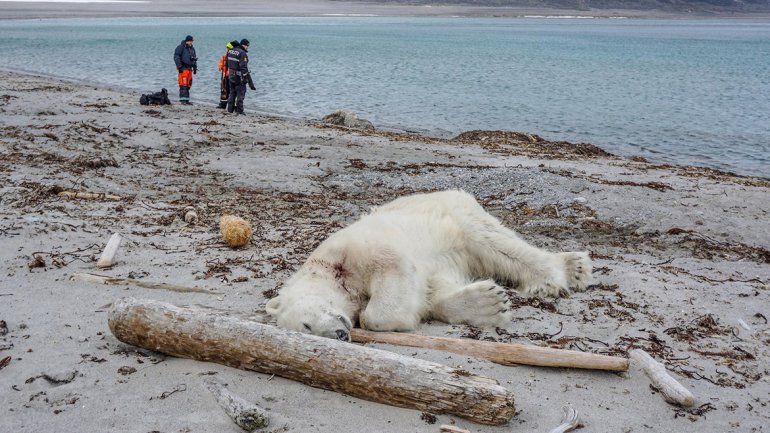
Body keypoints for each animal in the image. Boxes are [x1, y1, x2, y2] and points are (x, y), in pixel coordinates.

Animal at [265, 190, 592, 341]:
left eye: (306, 325)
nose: (340, 334)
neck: (329, 270)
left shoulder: (355, 250)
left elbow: (390, 274)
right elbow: (432, 291)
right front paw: (487, 303)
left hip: (456, 214)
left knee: (496, 243)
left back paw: (564, 272)